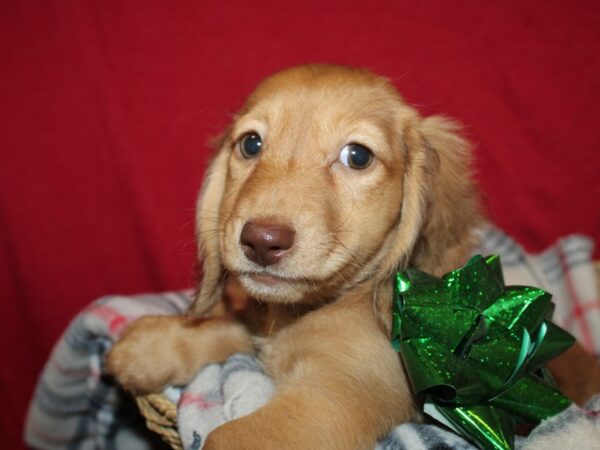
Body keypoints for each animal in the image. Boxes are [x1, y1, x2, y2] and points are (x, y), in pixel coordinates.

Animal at [109, 66, 482, 450]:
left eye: (358, 156)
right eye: (251, 144)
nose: (262, 242)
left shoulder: (324, 402)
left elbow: (223, 437)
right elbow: (232, 328)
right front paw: (157, 345)